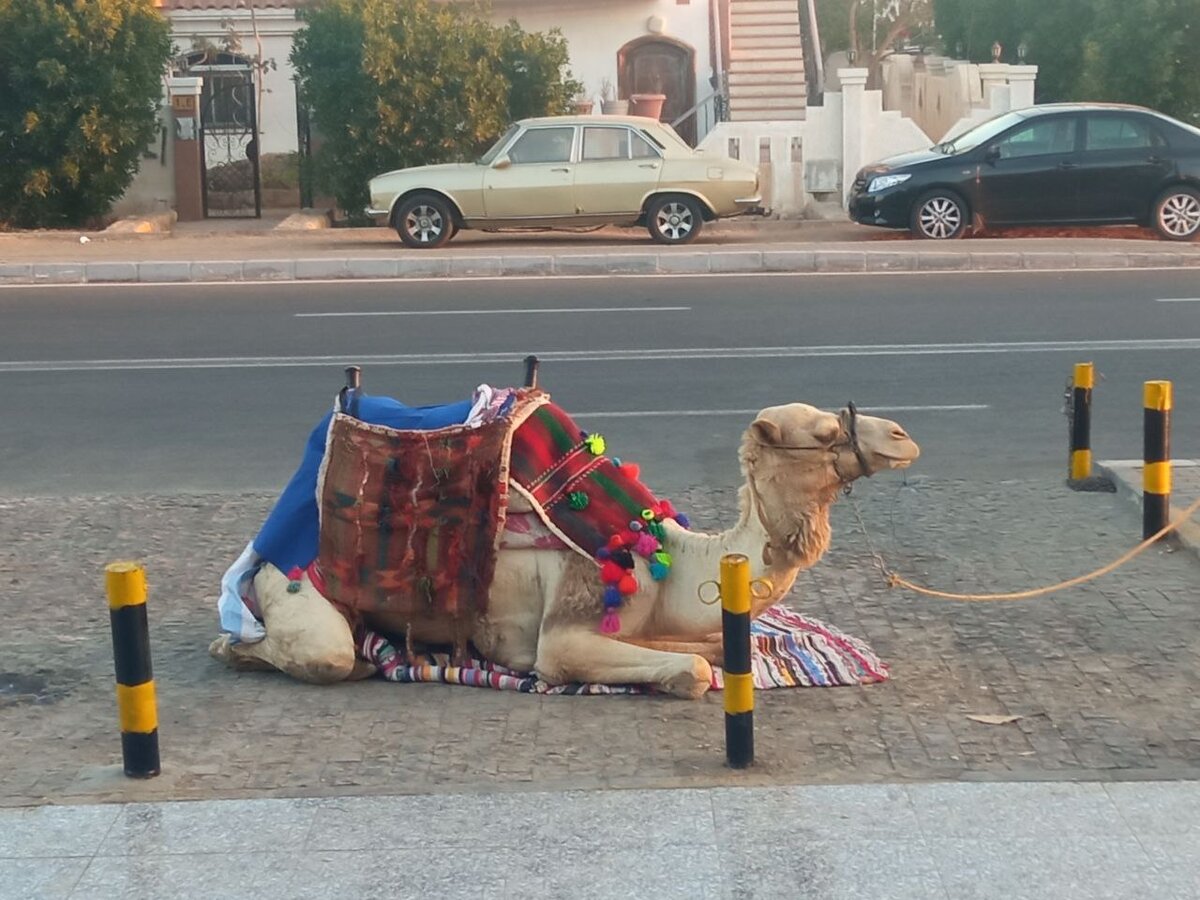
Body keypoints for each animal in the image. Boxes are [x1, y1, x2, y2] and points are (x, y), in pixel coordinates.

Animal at [211, 400, 916, 696]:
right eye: (823, 432)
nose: (902, 436)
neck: (667, 558)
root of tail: (261, 553)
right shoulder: (569, 624)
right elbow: (690, 670)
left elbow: (715, 645)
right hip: (298, 588)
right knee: (322, 656)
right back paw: (242, 649)